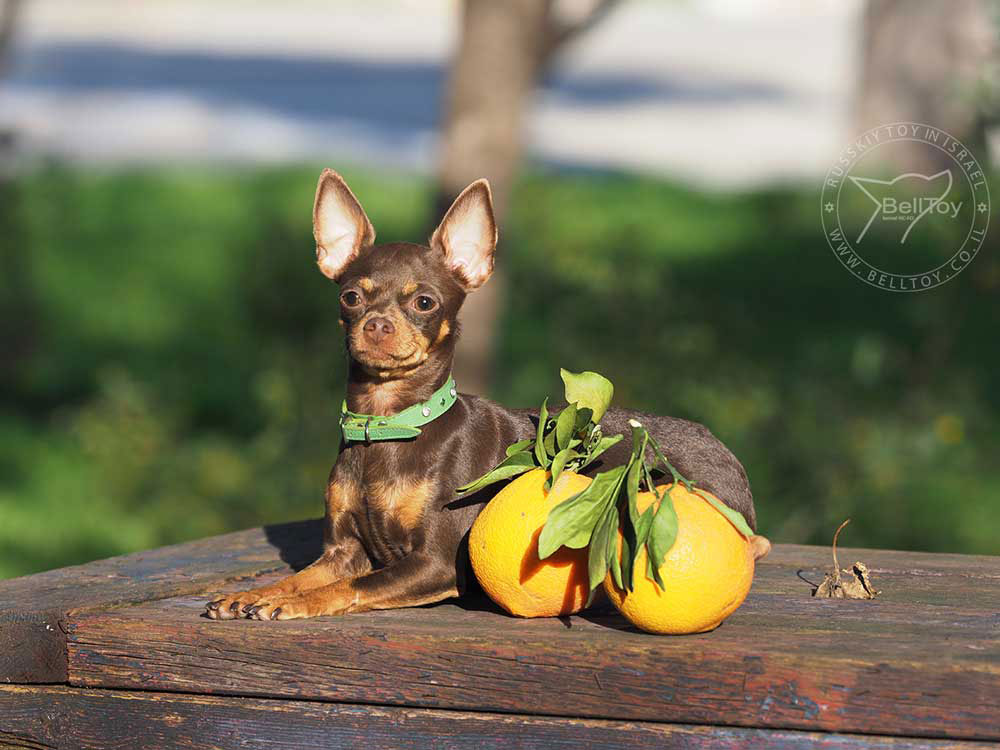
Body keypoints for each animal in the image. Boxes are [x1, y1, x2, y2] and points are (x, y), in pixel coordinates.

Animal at [205, 170, 752, 624]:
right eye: (350, 297)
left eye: (425, 302)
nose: (376, 325)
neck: (388, 425)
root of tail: (726, 451)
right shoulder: (340, 552)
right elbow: (301, 576)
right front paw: (257, 592)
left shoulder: (434, 564)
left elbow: (352, 586)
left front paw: (289, 603)